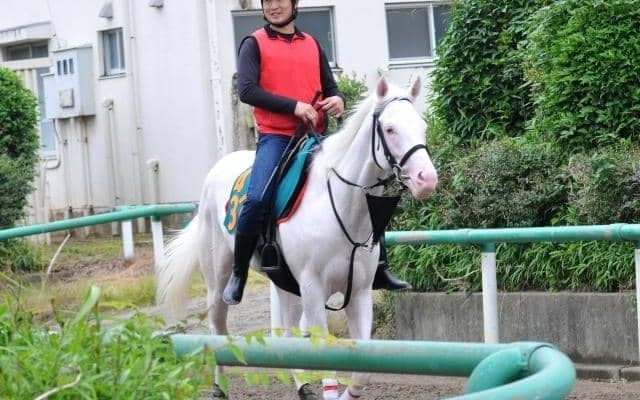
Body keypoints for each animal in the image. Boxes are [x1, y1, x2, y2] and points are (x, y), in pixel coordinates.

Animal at [156, 76, 438, 400]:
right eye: (390, 129)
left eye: (422, 125)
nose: (427, 179)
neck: (339, 205)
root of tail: (216, 169)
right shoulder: (313, 289)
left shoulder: (359, 292)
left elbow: (361, 370)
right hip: (218, 282)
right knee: (218, 329)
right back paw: (219, 388)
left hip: (284, 283)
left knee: (288, 332)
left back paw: (302, 386)